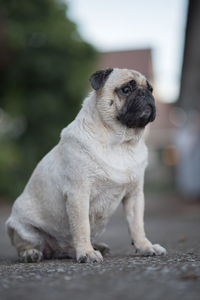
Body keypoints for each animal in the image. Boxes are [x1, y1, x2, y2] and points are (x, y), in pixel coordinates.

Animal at [5, 68, 166, 262]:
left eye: (150, 89)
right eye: (126, 89)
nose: (146, 94)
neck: (121, 143)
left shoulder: (134, 195)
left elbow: (137, 225)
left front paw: (145, 246)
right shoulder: (79, 193)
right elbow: (82, 227)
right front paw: (87, 253)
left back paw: (93, 247)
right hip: (24, 229)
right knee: (27, 245)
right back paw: (31, 253)